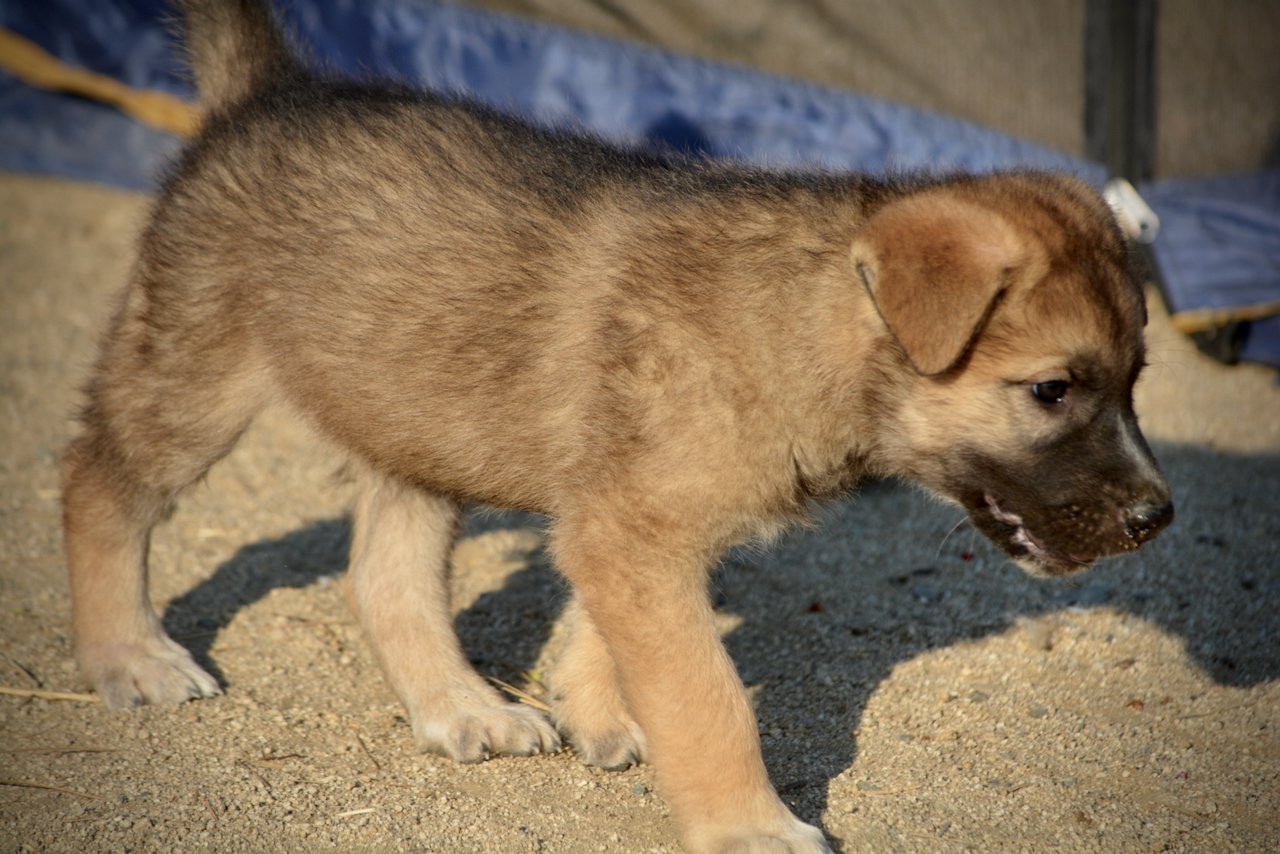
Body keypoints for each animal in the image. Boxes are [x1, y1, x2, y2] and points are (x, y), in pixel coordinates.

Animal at [64, 3, 1172, 850]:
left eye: (1135, 383)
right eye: (1051, 390)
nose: (1156, 520)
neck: (803, 316)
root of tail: (270, 92)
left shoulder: (629, 521)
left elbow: (607, 632)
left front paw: (592, 706)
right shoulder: (636, 529)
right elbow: (707, 695)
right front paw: (747, 824)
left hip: (415, 415)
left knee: (385, 574)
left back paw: (463, 707)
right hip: (196, 377)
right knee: (98, 487)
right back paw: (128, 653)